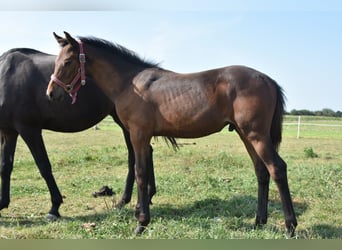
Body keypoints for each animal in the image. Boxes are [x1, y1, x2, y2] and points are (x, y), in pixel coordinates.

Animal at [0, 47, 159, 221]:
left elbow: (44, 166)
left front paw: (54, 207)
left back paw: (130, 199)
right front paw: (2, 203)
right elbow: (5, 166)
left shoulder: (29, 130)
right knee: (144, 152)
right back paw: (143, 197)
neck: (6, 77)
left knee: (136, 156)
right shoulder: (8, 132)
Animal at [46, 32, 298, 235]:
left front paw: (141, 223)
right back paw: (259, 222)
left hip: (256, 135)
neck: (130, 83)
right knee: (261, 172)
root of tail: (267, 79)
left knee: (277, 168)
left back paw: (290, 226)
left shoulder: (138, 134)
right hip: (245, 135)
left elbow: (140, 172)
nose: (51, 93)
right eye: (56, 62)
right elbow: (144, 171)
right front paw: (140, 212)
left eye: (67, 62)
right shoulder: (142, 136)